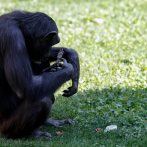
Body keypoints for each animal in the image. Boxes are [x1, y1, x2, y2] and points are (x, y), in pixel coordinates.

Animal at [0, 10, 79, 139]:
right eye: (50, 43)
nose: (47, 53)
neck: (20, 26)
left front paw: (72, 55)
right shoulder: (12, 38)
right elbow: (27, 86)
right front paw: (69, 69)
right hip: (5, 126)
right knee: (43, 102)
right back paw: (32, 133)